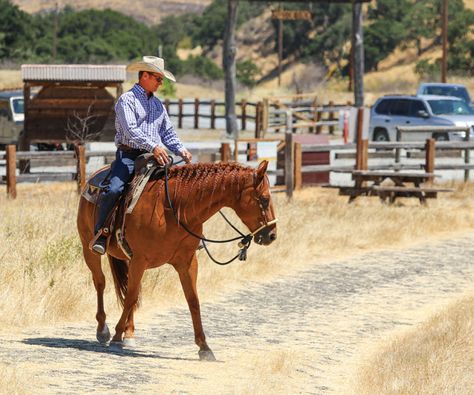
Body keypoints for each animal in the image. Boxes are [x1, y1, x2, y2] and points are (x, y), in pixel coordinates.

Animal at [77, 160, 278, 362]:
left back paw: (130, 334)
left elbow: (192, 300)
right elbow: (131, 297)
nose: (272, 235)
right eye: (265, 198)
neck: (172, 208)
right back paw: (103, 330)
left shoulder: (187, 262)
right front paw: (116, 337)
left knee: (129, 289)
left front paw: (204, 347)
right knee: (101, 282)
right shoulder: (140, 260)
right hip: (90, 249)